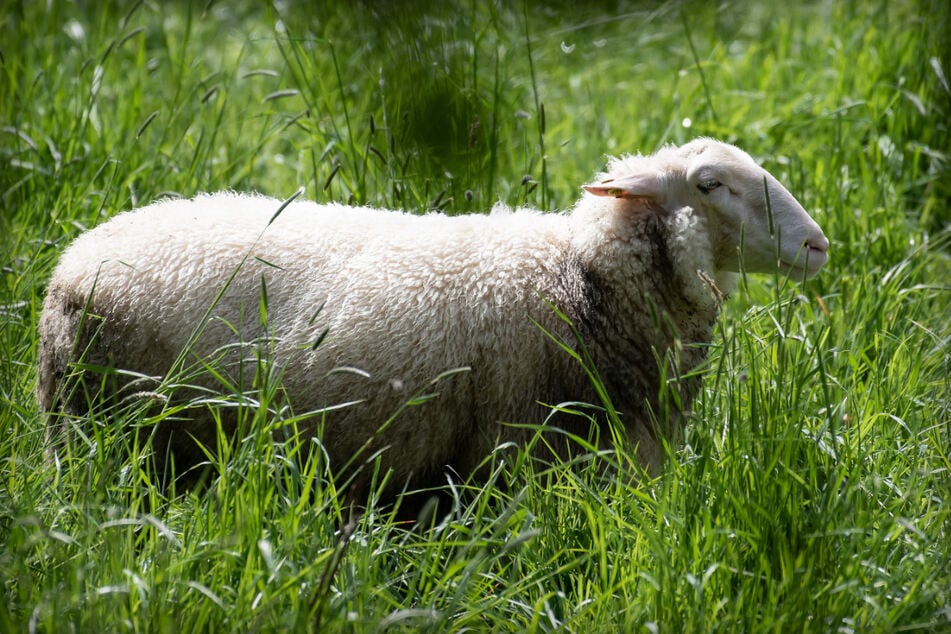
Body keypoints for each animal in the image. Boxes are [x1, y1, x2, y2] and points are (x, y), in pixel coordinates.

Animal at [37, 137, 829, 498]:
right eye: (709, 184)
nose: (818, 244)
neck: (582, 281)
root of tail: (74, 257)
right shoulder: (513, 450)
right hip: (110, 429)